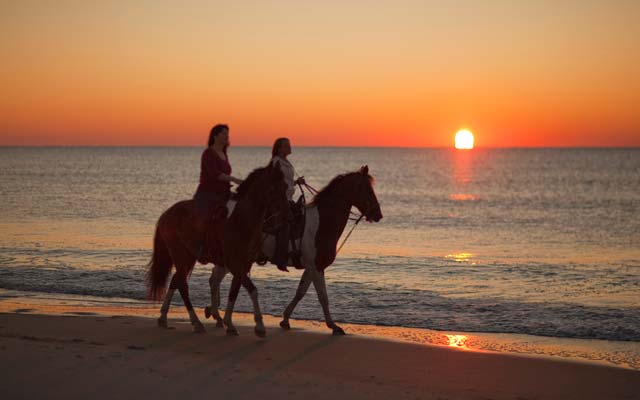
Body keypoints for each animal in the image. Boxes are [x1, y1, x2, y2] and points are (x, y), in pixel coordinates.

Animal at [145, 162, 288, 334]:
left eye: (286, 186)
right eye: (274, 188)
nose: (286, 215)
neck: (241, 222)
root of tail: (166, 214)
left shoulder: (243, 265)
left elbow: (234, 292)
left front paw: (230, 324)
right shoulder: (234, 264)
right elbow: (252, 290)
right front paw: (259, 326)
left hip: (188, 256)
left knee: (176, 280)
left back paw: (163, 317)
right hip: (179, 253)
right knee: (183, 285)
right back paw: (196, 322)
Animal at [208, 165, 382, 334]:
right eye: (368, 189)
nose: (378, 214)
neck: (322, 223)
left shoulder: (312, 267)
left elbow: (301, 292)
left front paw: (285, 319)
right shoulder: (316, 267)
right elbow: (323, 297)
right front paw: (333, 326)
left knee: (220, 280)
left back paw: (219, 317)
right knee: (218, 280)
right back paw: (220, 317)